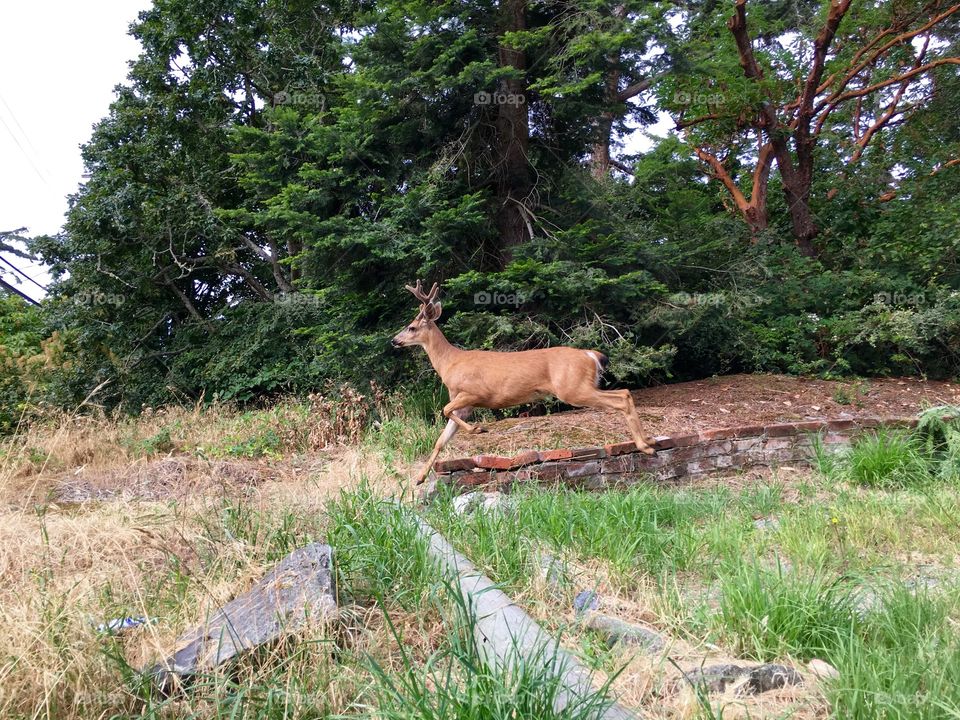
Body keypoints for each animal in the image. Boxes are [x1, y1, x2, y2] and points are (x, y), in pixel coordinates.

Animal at [391, 280, 656, 485]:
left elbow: (445, 410)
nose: (394, 340)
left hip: (572, 388)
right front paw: (419, 478)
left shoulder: (474, 393)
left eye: (411, 327)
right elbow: (440, 440)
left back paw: (645, 446)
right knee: (626, 392)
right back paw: (649, 440)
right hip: (582, 386)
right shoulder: (464, 405)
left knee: (621, 398)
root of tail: (590, 355)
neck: (450, 363)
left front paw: (478, 429)